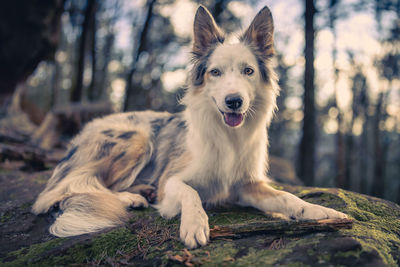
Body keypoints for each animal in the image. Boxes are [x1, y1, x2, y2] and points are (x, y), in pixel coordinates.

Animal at [32, 5, 346, 249]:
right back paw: (133, 197)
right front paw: (194, 225)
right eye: (215, 72)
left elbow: (288, 197)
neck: (228, 137)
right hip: (138, 138)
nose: (234, 101)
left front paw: (319, 210)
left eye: (248, 71)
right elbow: (190, 193)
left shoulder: (247, 185)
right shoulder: (171, 181)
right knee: (65, 190)